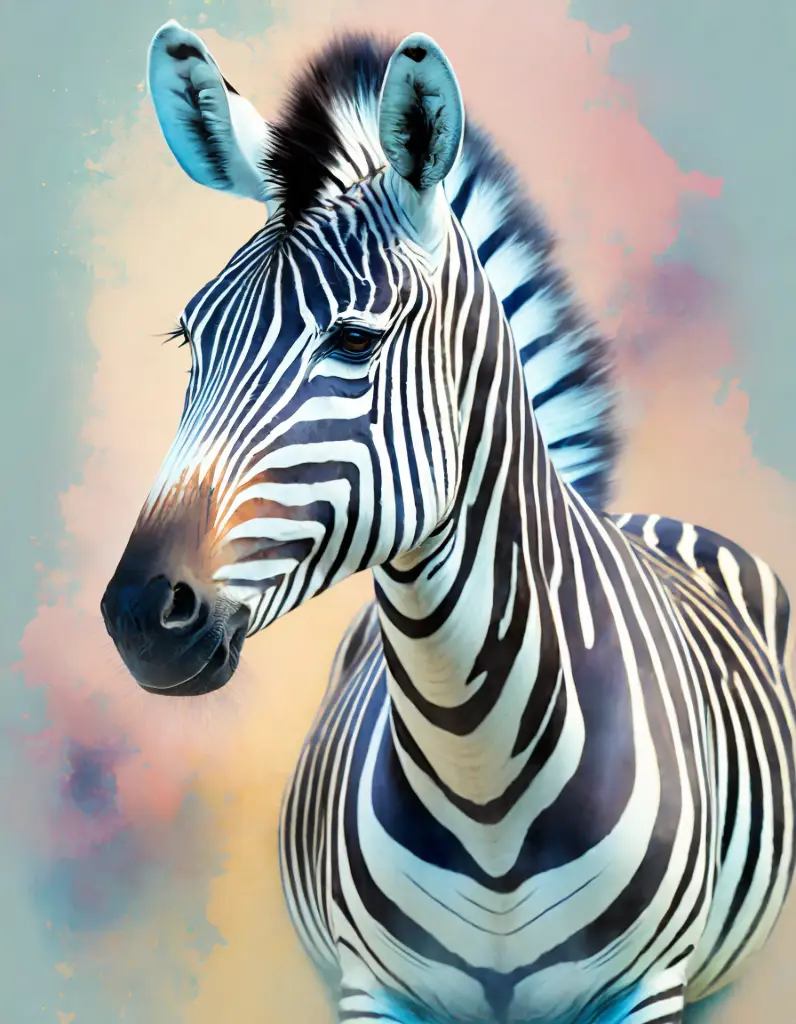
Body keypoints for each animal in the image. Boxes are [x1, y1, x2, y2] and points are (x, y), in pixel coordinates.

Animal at [100, 19, 796, 1024]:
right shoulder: (372, 988)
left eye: (355, 339)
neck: (483, 775)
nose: (139, 615)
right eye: (192, 338)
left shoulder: (649, 989)